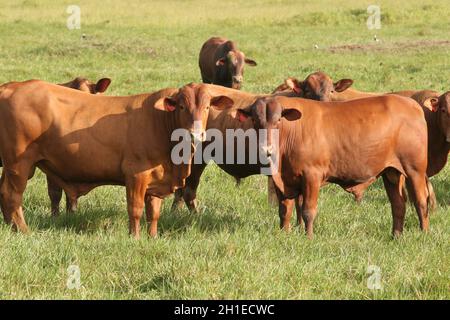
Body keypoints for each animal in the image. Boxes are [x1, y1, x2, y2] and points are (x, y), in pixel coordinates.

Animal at [0, 81, 232, 239]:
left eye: (207, 107)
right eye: (182, 107)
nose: (196, 134)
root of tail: (10, 86)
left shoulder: (157, 179)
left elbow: (154, 212)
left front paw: (153, 237)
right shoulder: (136, 174)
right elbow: (135, 209)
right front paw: (135, 237)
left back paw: (10, 227)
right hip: (19, 165)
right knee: (12, 196)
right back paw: (23, 230)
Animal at [236, 95, 428, 238]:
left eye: (278, 121)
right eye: (255, 121)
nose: (266, 149)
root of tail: (412, 104)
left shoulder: (312, 176)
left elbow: (308, 211)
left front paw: (309, 237)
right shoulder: (283, 181)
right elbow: (284, 210)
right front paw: (284, 234)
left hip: (415, 170)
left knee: (421, 201)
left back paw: (424, 233)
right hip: (391, 172)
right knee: (398, 204)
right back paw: (396, 236)